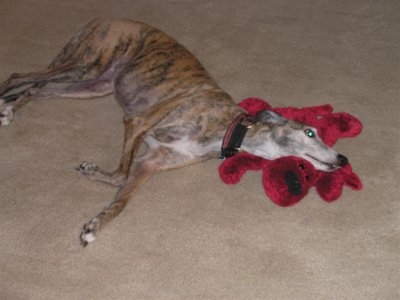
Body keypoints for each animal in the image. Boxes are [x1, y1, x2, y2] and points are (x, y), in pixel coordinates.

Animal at [0, 18, 346, 245]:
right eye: (311, 133)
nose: (343, 159)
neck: (228, 127)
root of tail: (107, 18)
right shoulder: (137, 122)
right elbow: (121, 173)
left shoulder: (150, 163)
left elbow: (121, 193)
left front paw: (95, 219)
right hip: (85, 63)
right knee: (22, 76)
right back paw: (6, 103)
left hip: (93, 85)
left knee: (37, 90)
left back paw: (11, 105)